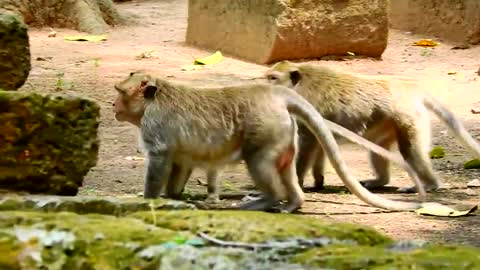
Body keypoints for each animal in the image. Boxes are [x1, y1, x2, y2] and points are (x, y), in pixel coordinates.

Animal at [113, 70, 428, 212]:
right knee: (284, 167)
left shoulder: (155, 126)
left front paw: (148, 200)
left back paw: (267, 200)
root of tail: (277, 95)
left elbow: (160, 159)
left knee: (259, 162)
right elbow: (180, 162)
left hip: (266, 130)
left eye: (120, 92)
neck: (154, 99)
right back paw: (293, 202)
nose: (112, 105)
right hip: (284, 133)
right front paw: (173, 196)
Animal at [264, 60, 480, 194]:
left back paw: (430, 184)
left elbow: (308, 142)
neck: (299, 84)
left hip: (409, 117)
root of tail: (410, 88)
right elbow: (319, 142)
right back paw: (380, 180)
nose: (263, 85)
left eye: (273, 78)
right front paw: (318, 180)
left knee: (411, 150)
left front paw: (298, 181)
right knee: (378, 147)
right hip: (387, 123)